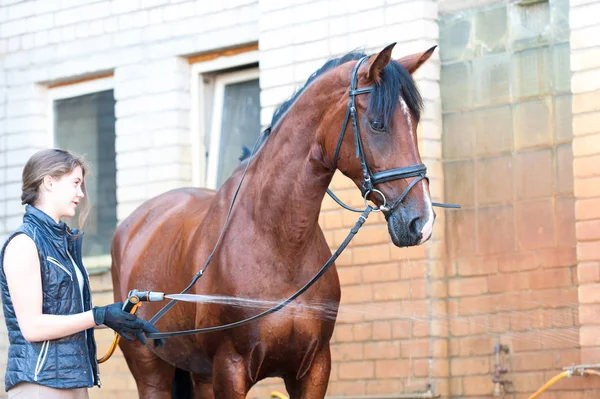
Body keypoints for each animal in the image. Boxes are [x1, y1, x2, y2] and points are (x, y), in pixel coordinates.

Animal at [110, 42, 436, 398]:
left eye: (415, 122)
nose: (421, 222)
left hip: (199, 374)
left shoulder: (314, 369)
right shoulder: (230, 369)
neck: (278, 242)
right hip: (150, 368)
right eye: (377, 124)